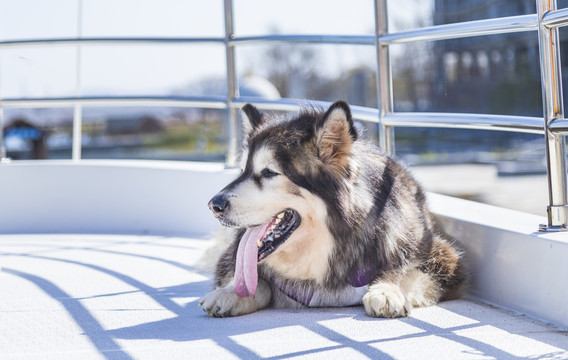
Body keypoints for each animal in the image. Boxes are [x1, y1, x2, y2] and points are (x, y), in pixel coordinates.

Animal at [200, 100, 466, 316]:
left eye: (268, 172)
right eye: (242, 171)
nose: (214, 205)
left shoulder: (443, 258)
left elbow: (403, 270)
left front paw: (386, 289)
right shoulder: (232, 256)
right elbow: (254, 279)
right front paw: (230, 293)